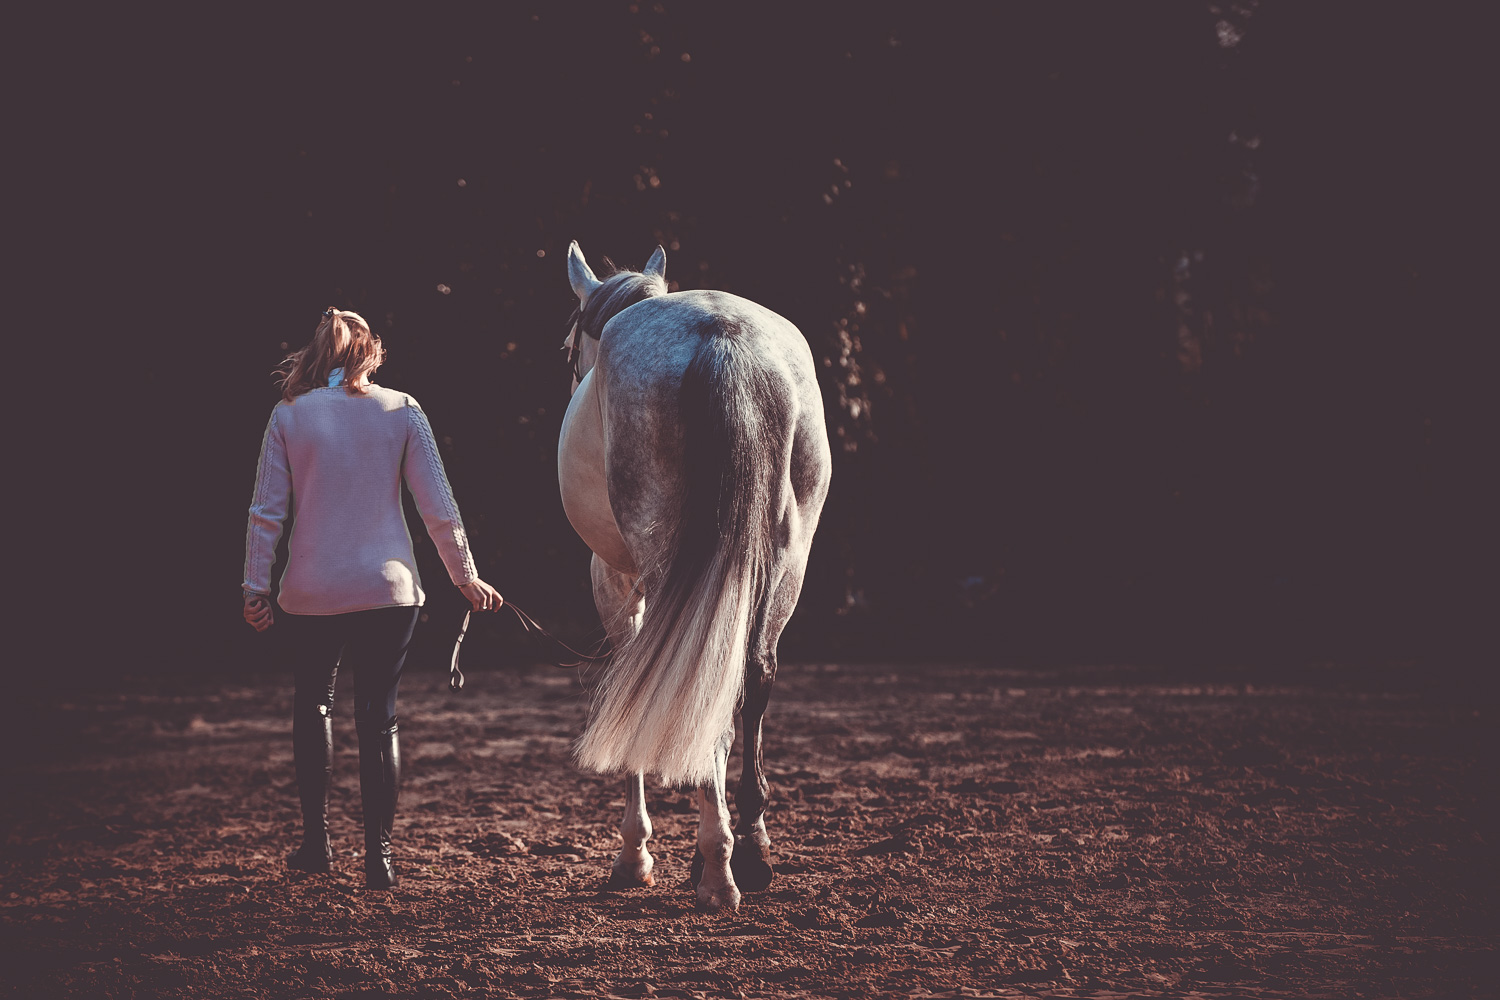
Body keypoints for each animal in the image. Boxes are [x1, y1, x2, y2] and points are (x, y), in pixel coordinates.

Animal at [558, 242, 834, 917]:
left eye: (567, 344)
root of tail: (723, 335)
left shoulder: (616, 581)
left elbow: (632, 683)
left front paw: (634, 856)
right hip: (786, 560)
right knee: (751, 675)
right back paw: (749, 854)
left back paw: (717, 871)